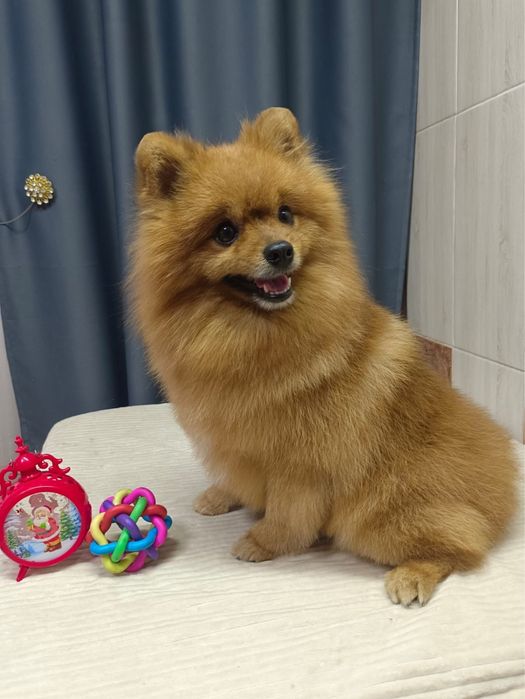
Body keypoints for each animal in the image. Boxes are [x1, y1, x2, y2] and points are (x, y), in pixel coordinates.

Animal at [131, 107, 518, 605]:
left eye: (285, 214)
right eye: (225, 232)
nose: (280, 250)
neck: (249, 335)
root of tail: (501, 491)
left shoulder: (302, 461)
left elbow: (286, 511)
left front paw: (263, 541)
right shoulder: (237, 438)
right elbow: (238, 477)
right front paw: (222, 496)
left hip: (378, 512)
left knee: (461, 545)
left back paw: (412, 575)